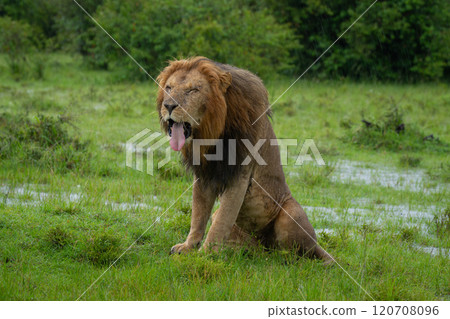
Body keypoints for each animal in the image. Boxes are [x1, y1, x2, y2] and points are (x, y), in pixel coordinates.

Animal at [156, 57, 332, 264]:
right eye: (168, 87)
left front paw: (206, 254)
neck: (213, 133)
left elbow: (222, 221)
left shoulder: (239, 175)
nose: (168, 106)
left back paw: (282, 258)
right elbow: (198, 215)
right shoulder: (204, 175)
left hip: (291, 216)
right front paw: (188, 247)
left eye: (193, 90)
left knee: (298, 254)